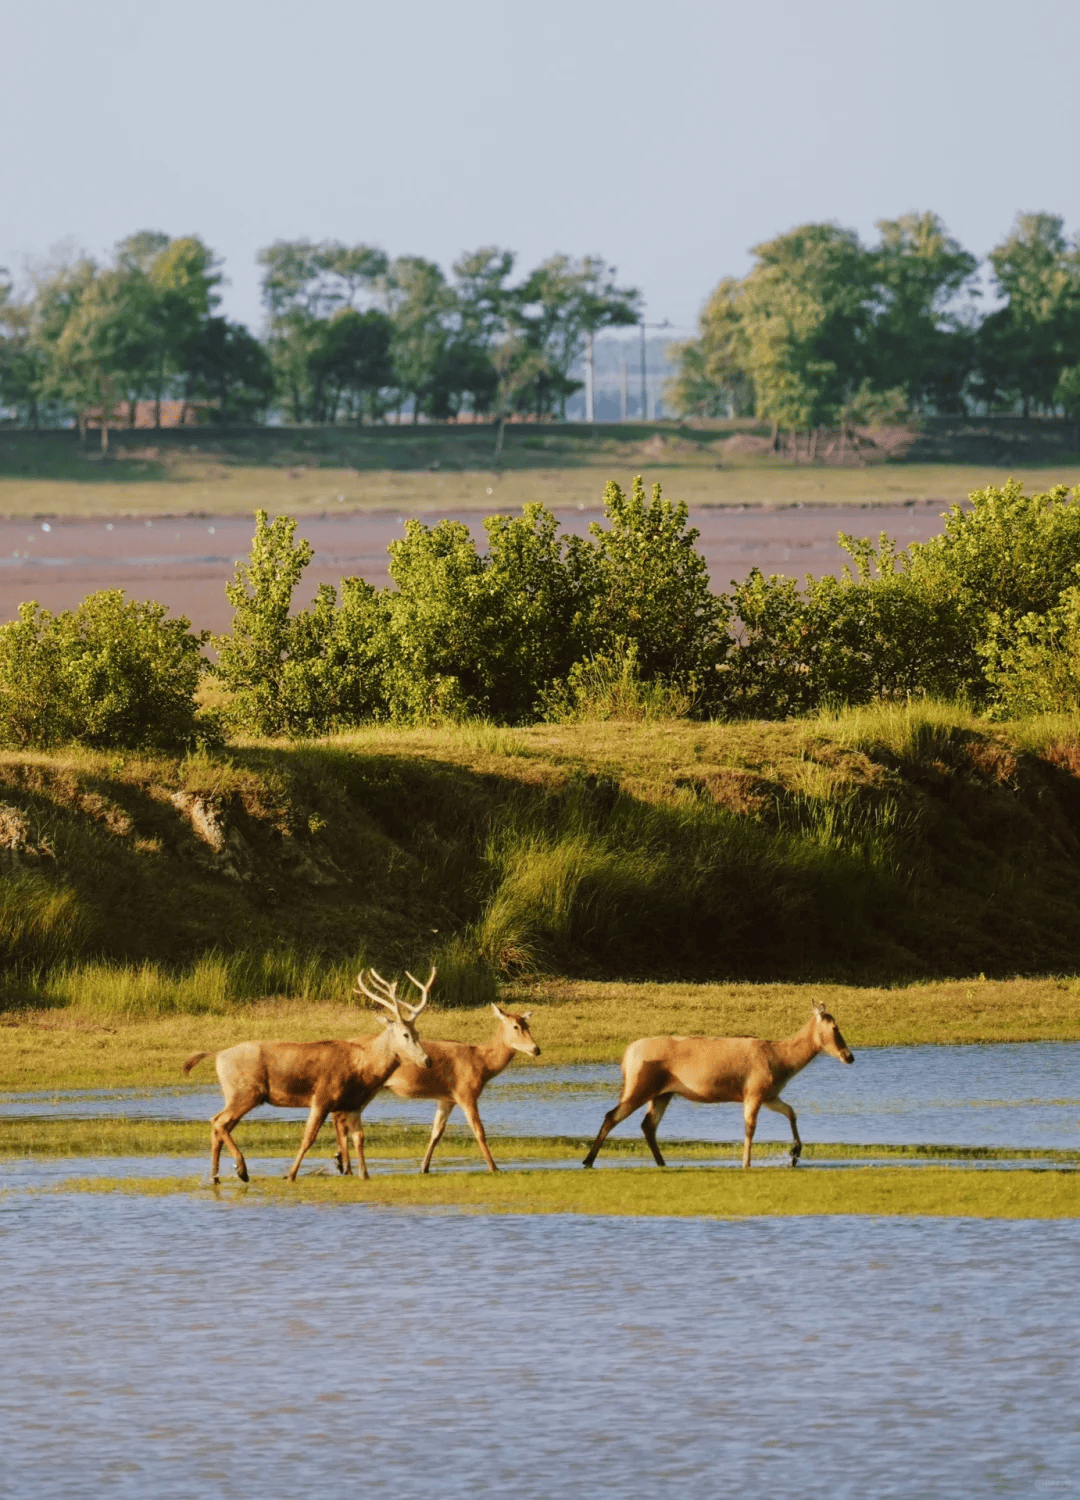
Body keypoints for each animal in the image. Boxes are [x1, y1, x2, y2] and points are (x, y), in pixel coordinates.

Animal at [184, 966, 435, 1188]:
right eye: (404, 1034)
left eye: (418, 1032)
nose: (427, 1060)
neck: (363, 1070)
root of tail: (218, 1055)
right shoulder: (322, 1098)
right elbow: (308, 1137)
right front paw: (290, 1175)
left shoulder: (353, 1104)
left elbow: (359, 1137)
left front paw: (365, 1175)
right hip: (246, 1092)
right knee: (218, 1121)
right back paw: (242, 1171)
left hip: (238, 1094)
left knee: (219, 1125)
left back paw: (216, 1177)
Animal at [331, 1002, 540, 1176]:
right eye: (515, 1026)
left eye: (528, 1025)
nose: (536, 1049)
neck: (482, 1063)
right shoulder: (466, 1093)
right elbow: (479, 1130)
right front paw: (494, 1167)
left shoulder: (447, 1098)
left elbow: (436, 1132)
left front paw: (424, 1167)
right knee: (341, 1117)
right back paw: (345, 1165)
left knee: (340, 1117)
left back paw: (341, 1162)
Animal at [582, 1008, 852, 1170]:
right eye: (835, 1028)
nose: (849, 1056)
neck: (782, 1062)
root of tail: (626, 1056)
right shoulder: (753, 1091)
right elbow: (750, 1128)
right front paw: (746, 1163)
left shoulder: (769, 1094)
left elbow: (792, 1112)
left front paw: (795, 1154)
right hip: (639, 1085)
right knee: (612, 1115)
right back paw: (588, 1160)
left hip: (662, 1093)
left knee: (648, 1125)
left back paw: (662, 1162)